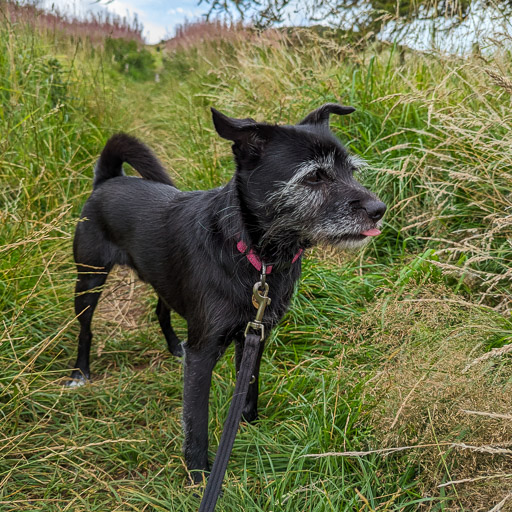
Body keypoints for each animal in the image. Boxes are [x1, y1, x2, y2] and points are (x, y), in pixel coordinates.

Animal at [70, 105, 386, 484]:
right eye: (314, 177)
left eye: (350, 171)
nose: (379, 209)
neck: (254, 255)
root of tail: (108, 180)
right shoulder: (203, 354)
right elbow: (196, 423)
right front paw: (198, 475)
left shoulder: (255, 334)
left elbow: (248, 385)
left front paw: (248, 428)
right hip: (89, 280)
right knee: (85, 329)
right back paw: (80, 374)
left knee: (161, 310)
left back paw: (174, 347)